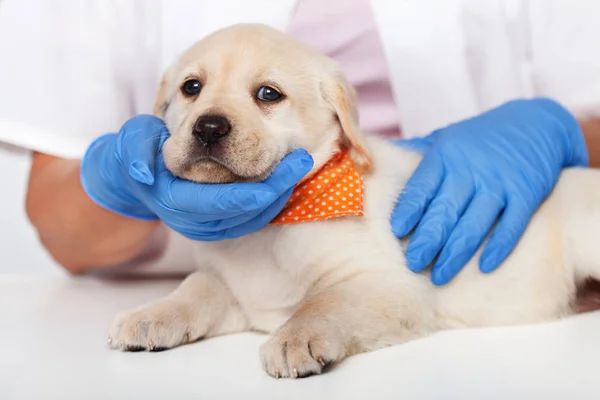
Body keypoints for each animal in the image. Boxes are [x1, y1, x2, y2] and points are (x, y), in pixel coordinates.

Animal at [108, 22, 600, 378]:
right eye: (191, 87)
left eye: (268, 94)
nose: (208, 127)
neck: (275, 223)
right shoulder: (231, 287)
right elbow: (194, 289)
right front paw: (153, 314)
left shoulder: (387, 284)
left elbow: (325, 303)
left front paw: (295, 338)